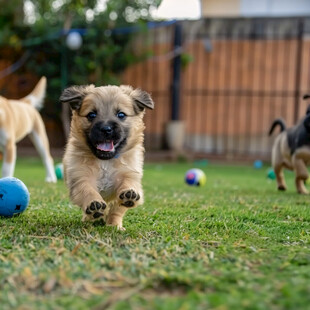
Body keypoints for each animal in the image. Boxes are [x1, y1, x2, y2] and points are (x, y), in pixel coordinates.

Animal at [60, 83, 154, 229]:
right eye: (92, 115)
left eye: (121, 114)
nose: (106, 129)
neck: (105, 162)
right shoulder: (81, 177)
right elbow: (87, 190)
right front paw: (94, 204)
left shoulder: (129, 173)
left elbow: (126, 188)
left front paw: (129, 194)